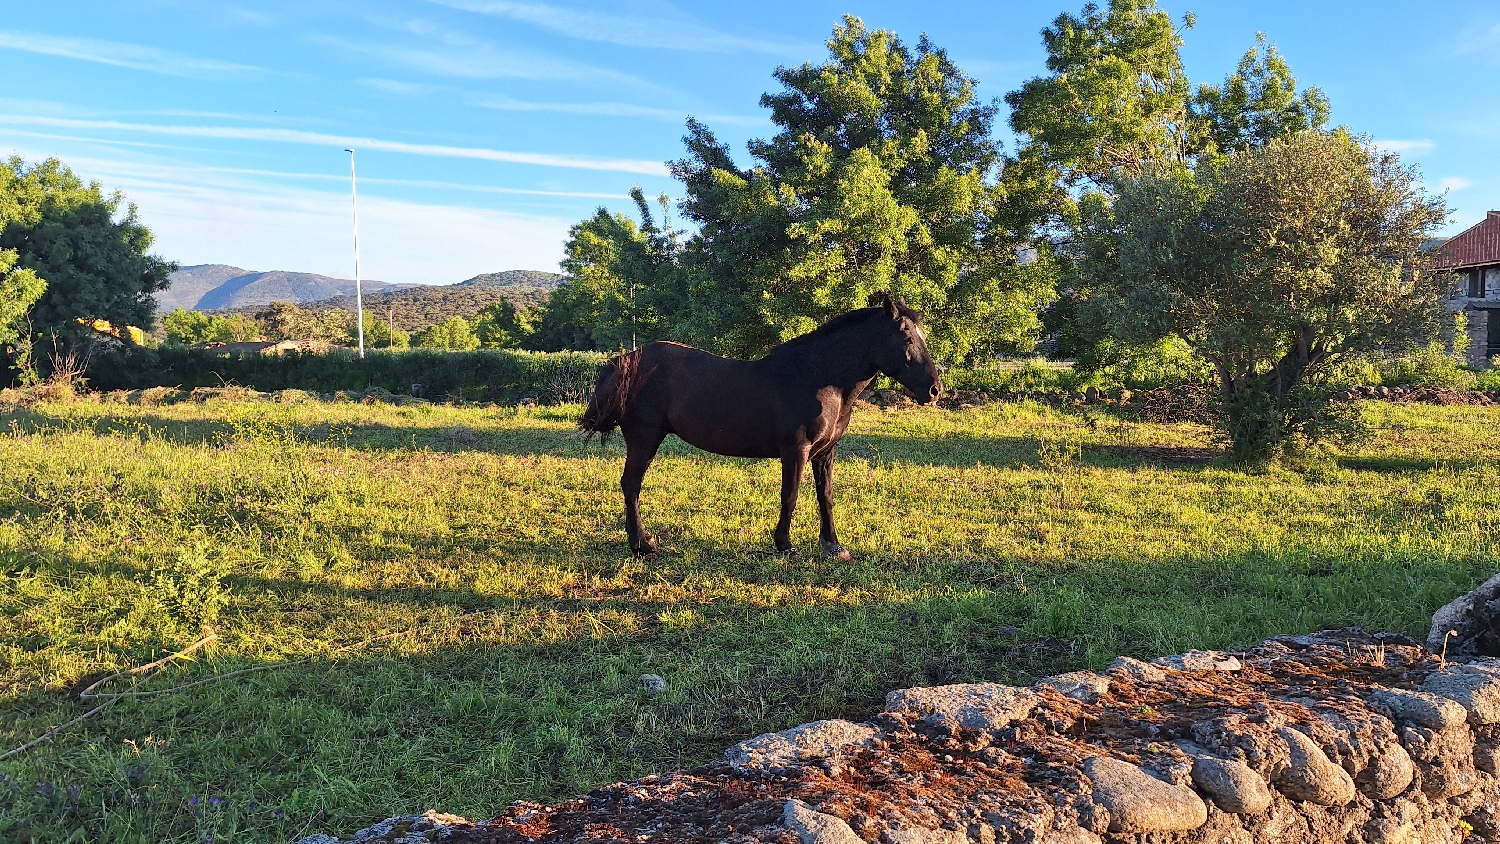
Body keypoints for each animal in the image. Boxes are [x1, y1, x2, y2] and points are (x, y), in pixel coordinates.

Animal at [579, 295, 942, 560]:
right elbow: (790, 496)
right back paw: (642, 546)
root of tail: (629, 360)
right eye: (906, 336)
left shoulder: (825, 452)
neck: (818, 379)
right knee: (631, 486)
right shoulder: (796, 451)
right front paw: (785, 545)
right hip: (644, 439)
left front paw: (832, 545)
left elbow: (825, 496)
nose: (935, 390)